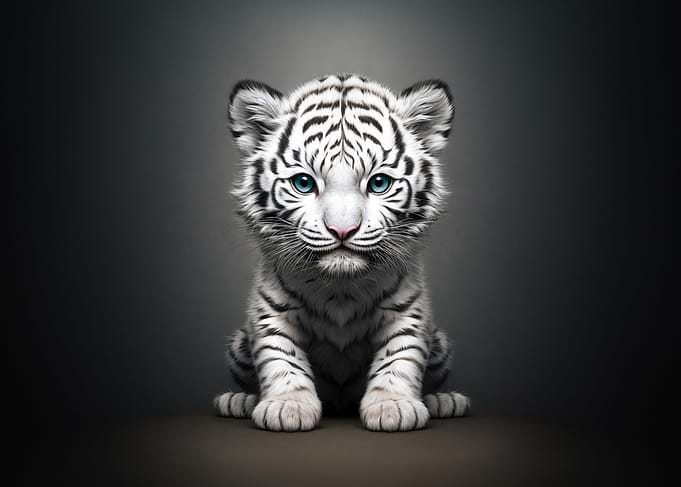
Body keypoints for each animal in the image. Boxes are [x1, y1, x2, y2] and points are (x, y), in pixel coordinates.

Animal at [214, 73, 470, 432]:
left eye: (379, 183)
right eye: (303, 183)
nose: (342, 230)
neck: (341, 287)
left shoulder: (407, 310)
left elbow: (399, 356)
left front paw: (392, 406)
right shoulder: (271, 311)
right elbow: (281, 357)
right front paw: (288, 406)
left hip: (441, 344)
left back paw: (443, 401)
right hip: (238, 344)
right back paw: (239, 401)